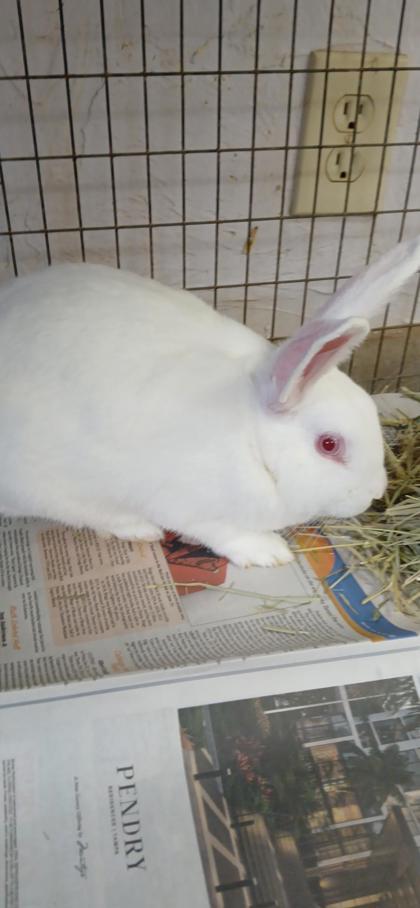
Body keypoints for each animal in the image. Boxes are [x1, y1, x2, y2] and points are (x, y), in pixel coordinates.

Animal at [0, 237, 419, 568]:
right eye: (328, 445)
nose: (374, 493)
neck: (251, 440)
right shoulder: (189, 506)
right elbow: (223, 532)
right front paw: (269, 552)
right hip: (49, 487)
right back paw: (139, 528)